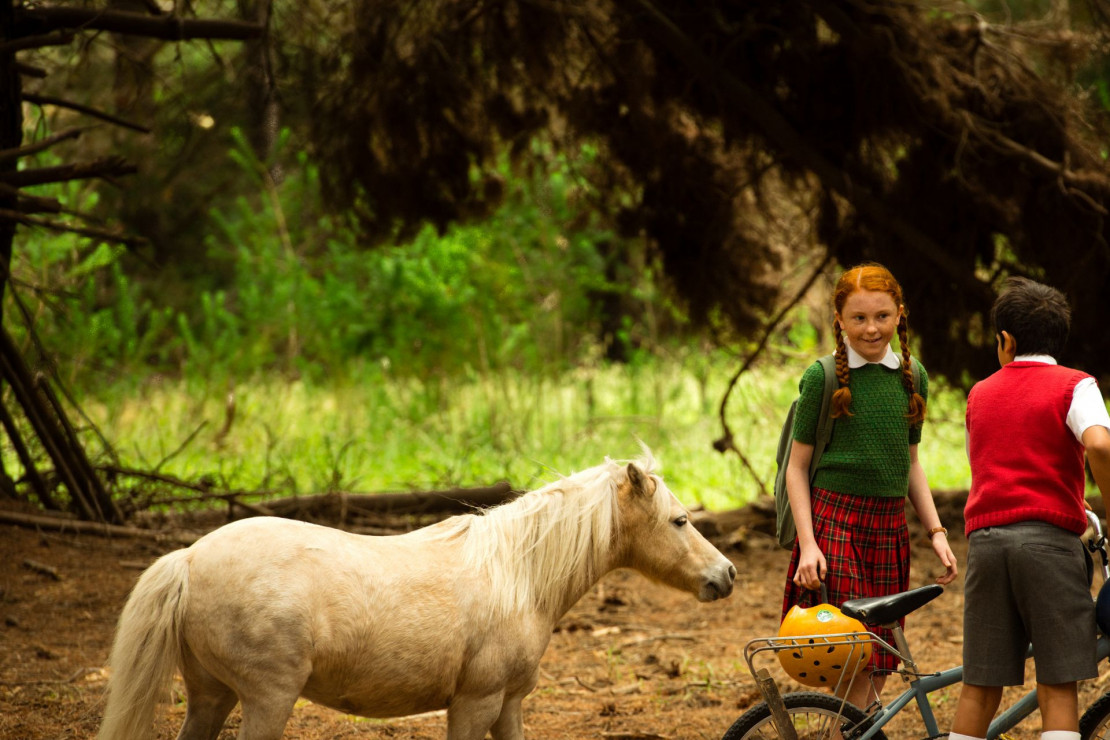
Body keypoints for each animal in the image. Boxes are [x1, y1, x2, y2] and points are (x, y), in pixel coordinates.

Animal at [97, 454, 737, 740]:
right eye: (680, 521)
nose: (726, 575)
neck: (519, 576)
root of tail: (188, 559)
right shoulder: (475, 702)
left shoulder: (509, 704)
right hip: (266, 700)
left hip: (212, 696)